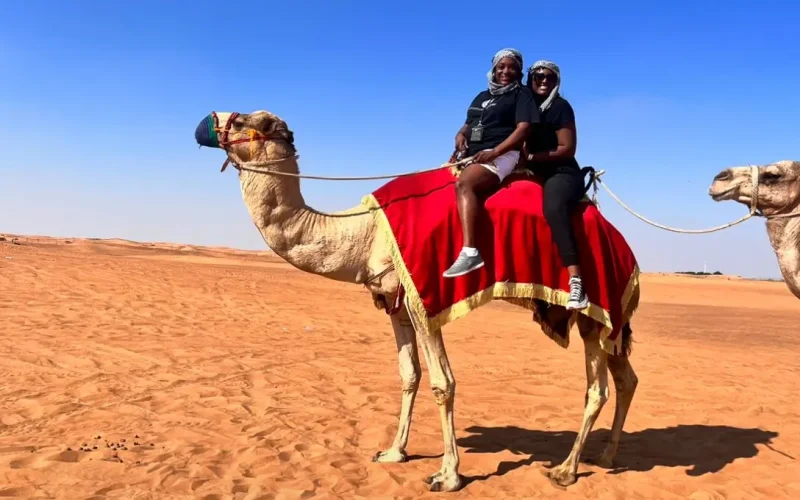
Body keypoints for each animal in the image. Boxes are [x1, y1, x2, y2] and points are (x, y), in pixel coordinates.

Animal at [194, 110, 639, 492]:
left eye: (251, 121)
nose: (206, 122)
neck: (364, 233)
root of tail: (626, 249)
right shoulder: (395, 302)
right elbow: (409, 375)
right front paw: (394, 452)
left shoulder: (423, 300)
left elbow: (444, 383)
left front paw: (448, 475)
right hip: (605, 318)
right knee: (625, 378)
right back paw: (606, 457)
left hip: (593, 309)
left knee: (597, 388)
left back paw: (565, 470)